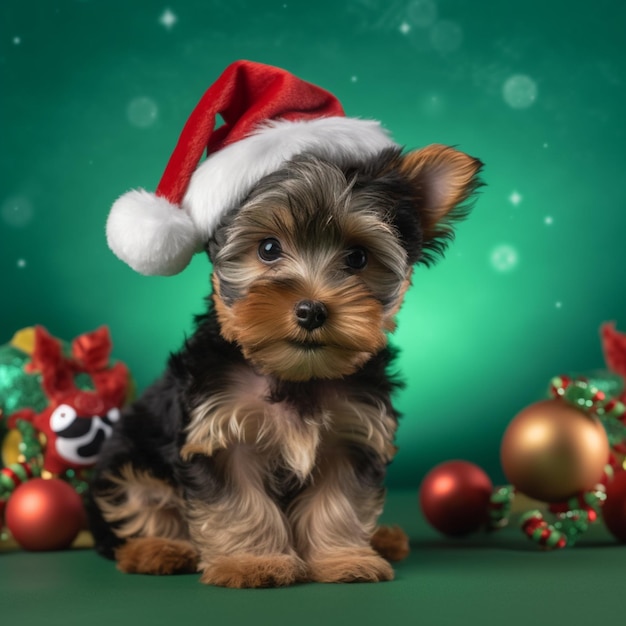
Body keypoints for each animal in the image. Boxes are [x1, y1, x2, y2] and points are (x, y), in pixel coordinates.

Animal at [88, 58, 480, 584]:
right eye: (269, 249)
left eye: (358, 257)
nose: (311, 309)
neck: (294, 375)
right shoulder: (216, 430)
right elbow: (238, 503)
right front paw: (253, 561)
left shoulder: (352, 433)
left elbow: (339, 501)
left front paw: (343, 557)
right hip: (127, 452)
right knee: (138, 499)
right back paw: (157, 550)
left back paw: (383, 539)